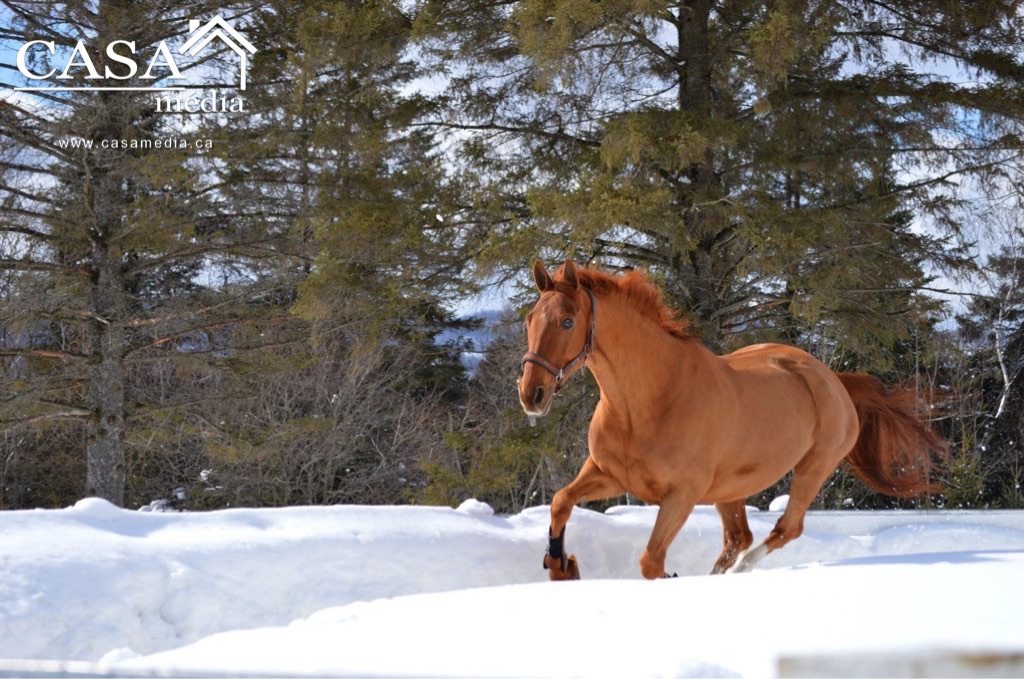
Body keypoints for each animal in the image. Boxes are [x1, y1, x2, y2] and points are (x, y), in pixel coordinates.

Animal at [524, 260, 946, 577]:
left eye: (567, 321)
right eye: (530, 319)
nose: (532, 394)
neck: (647, 403)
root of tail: (833, 379)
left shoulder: (681, 495)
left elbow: (650, 562)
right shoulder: (608, 473)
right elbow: (561, 501)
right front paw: (560, 565)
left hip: (813, 467)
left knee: (783, 529)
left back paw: (743, 568)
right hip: (730, 489)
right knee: (738, 538)